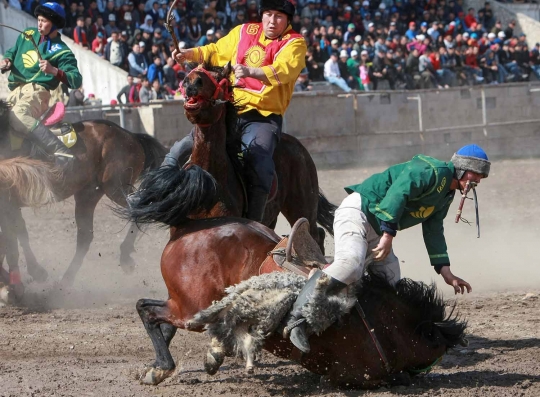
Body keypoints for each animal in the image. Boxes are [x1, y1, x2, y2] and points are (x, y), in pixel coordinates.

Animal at [0, 98, 167, 284]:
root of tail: (131, 135)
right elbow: (14, 234)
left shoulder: (8, 201)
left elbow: (16, 233)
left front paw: (36, 271)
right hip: (88, 194)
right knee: (85, 236)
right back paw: (64, 282)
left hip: (115, 187)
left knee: (141, 208)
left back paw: (124, 256)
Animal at [134, 217, 464, 386]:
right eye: (434, 344)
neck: (382, 324)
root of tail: (187, 228)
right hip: (188, 306)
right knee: (146, 310)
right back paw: (161, 368)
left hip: (188, 304)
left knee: (162, 317)